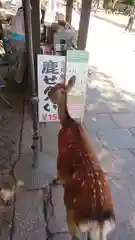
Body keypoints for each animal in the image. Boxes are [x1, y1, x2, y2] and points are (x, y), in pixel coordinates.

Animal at [48, 76, 115, 239]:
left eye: (55, 88)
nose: (47, 94)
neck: (67, 123)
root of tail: (100, 219)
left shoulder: (60, 155)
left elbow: (59, 173)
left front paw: (55, 182)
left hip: (73, 217)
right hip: (101, 233)